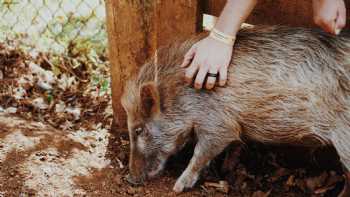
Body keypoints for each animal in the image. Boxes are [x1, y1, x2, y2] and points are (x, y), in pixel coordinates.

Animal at [121, 25, 350, 193]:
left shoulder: (218, 123)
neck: (183, 94)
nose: (130, 179)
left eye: (139, 129)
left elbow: (201, 152)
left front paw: (177, 187)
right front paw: (227, 168)